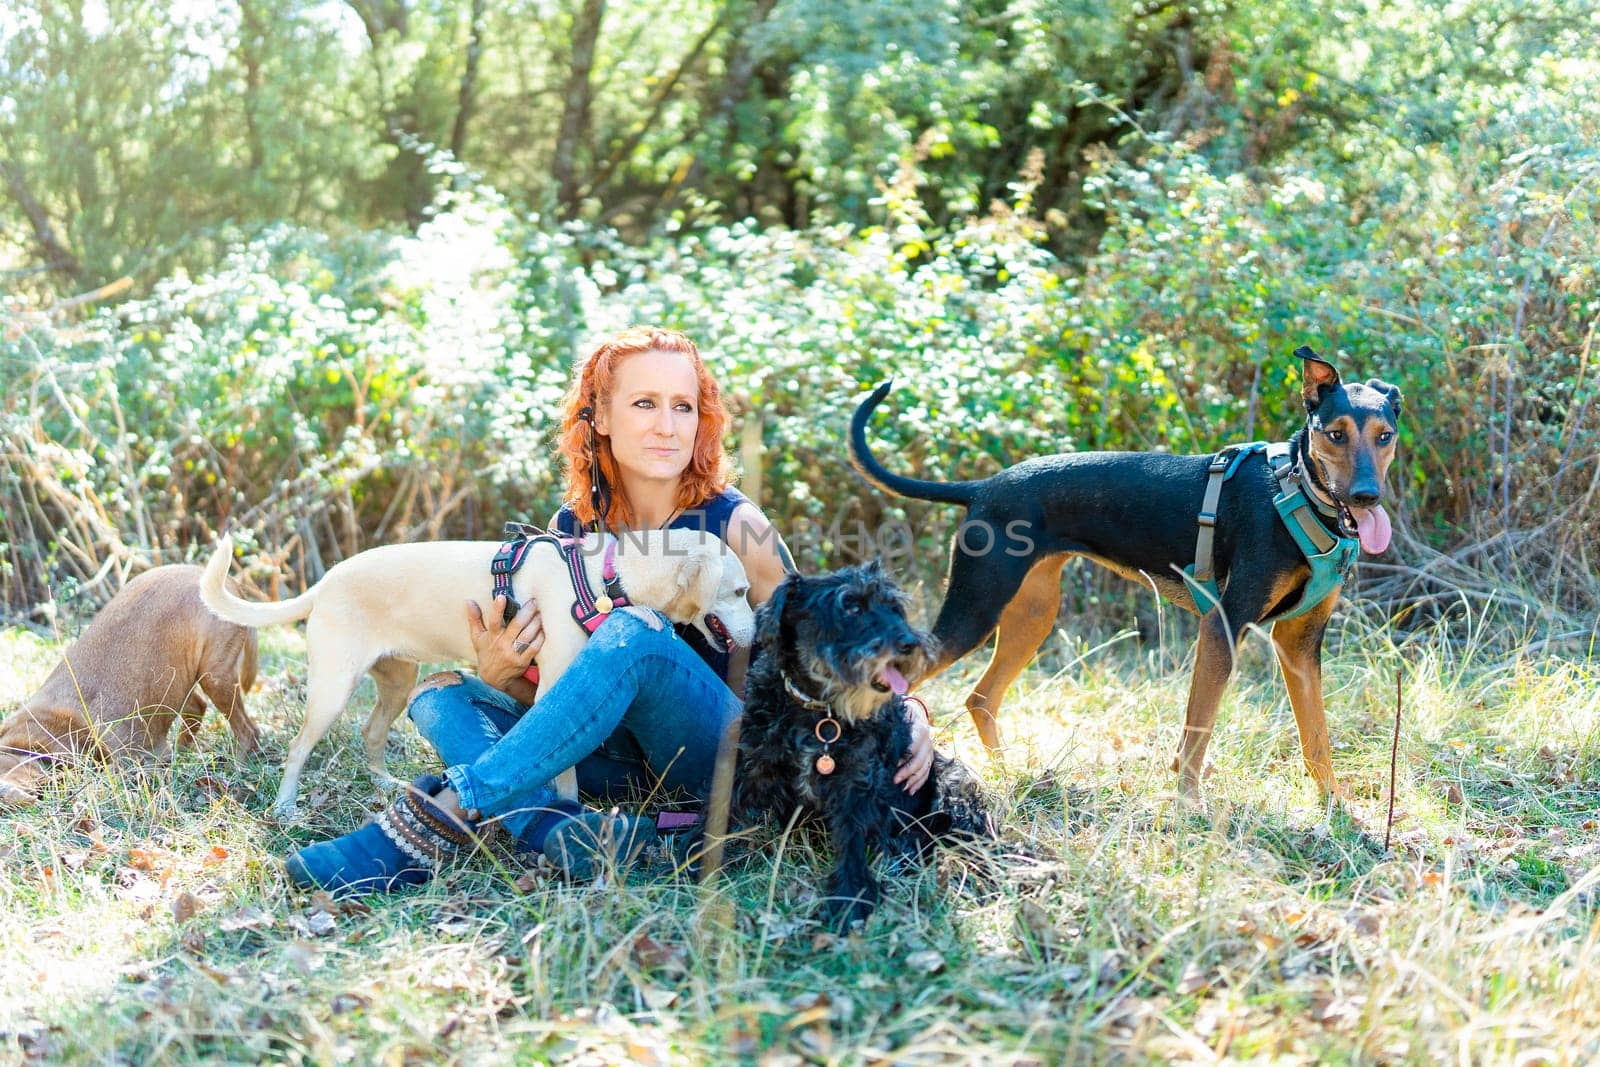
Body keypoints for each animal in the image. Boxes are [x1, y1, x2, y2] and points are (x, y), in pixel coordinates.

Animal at [0, 563, 259, 806]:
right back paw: (182, 754)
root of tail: (231, 583)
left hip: (215, 676)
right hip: (180, 680)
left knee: (247, 730)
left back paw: (238, 768)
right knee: (197, 707)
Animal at [196, 531, 752, 819]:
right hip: (334, 688)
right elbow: (565, 771)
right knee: (297, 747)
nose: (758, 632)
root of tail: (325, 582)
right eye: (741, 592)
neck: (602, 578)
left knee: (371, 733)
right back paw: (286, 807)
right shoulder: (554, 686)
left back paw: (386, 785)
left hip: (399, 682)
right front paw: (566, 810)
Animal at [732, 566, 992, 927]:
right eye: (851, 607)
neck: (821, 710)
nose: (909, 644)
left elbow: (852, 843)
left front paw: (850, 898)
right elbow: (729, 812)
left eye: (894, 607)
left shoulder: (856, 784)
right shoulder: (756, 766)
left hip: (955, 786)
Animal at [851, 350, 1401, 809]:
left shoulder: (1299, 643)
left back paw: (1008, 774)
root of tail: (982, 488)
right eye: (1334, 434)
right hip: (975, 611)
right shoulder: (1223, 626)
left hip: (1031, 616)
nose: (1367, 497)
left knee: (981, 697)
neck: (1298, 493)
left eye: (1385, 436)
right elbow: (1198, 730)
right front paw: (1189, 806)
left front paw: (1336, 808)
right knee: (901, 687)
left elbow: (1317, 737)